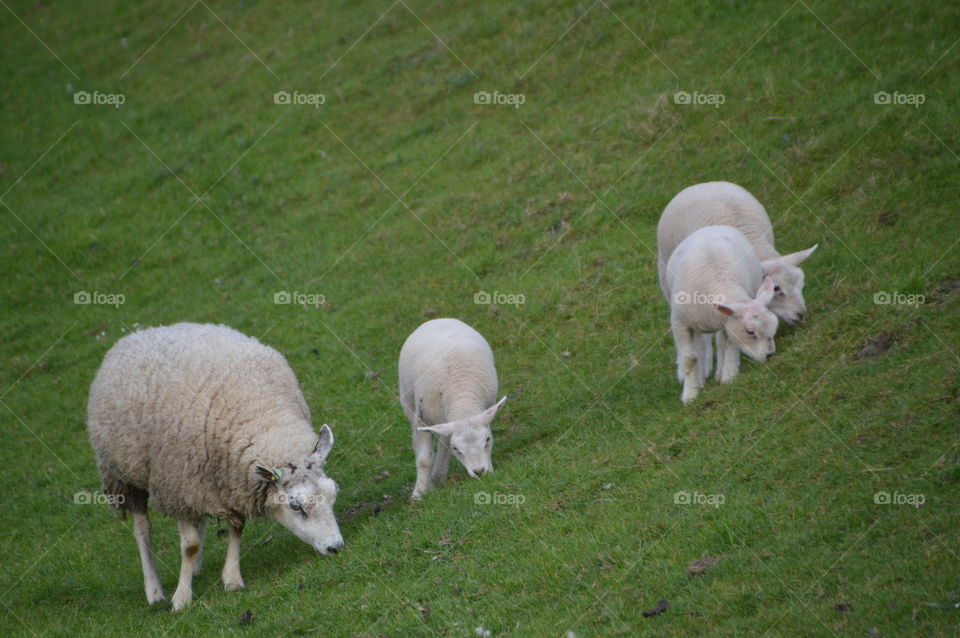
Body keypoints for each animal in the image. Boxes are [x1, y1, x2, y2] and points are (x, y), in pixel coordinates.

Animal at [86, 322, 344, 611]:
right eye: (296, 506)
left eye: (334, 493)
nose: (335, 547)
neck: (259, 414)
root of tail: (140, 333)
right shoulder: (178, 487)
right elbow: (189, 546)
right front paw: (181, 598)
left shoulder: (231, 483)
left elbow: (235, 528)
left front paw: (231, 578)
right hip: (123, 476)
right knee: (143, 531)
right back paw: (154, 591)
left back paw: (195, 569)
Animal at [398, 318, 507, 499]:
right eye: (457, 449)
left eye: (488, 439)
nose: (479, 472)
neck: (461, 396)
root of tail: (437, 320)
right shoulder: (422, 418)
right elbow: (424, 459)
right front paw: (418, 495)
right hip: (408, 400)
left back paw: (438, 476)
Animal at [665, 225, 779, 404]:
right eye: (750, 332)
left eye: (775, 325)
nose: (770, 355)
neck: (718, 283)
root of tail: (712, 227)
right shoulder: (680, 324)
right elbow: (690, 359)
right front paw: (690, 395)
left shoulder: (729, 323)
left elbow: (729, 345)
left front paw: (728, 378)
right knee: (699, 346)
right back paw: (700, 380)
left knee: (720, 344)